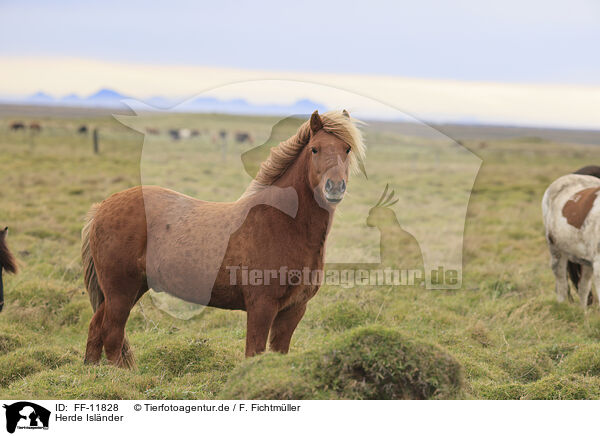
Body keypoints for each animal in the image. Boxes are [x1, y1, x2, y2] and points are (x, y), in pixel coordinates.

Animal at [81, 110, 364, 366]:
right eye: (315, 149)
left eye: (347, 149)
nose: (334, 187)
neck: (283, 225)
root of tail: (101, 208)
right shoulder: (262, 307)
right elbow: (254, 352)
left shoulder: (293, 309)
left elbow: (277, 353)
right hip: (121, 290)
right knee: (112, 333)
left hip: (128, 289)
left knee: (96, 327)